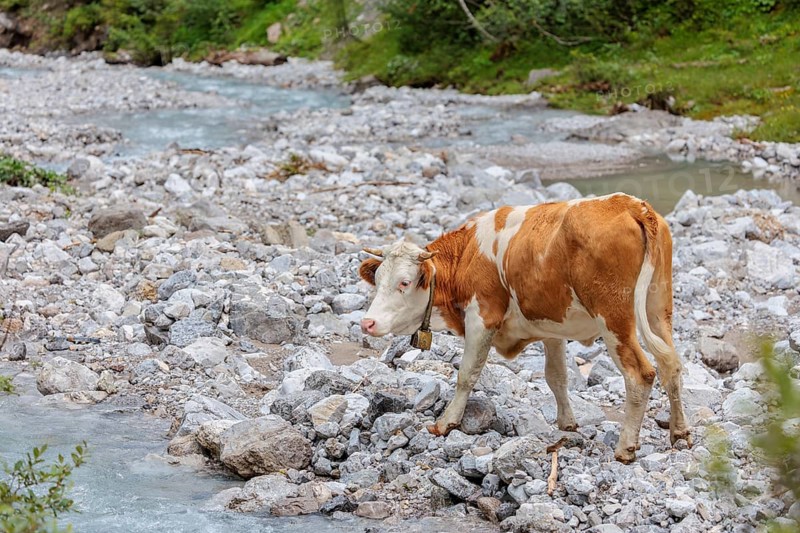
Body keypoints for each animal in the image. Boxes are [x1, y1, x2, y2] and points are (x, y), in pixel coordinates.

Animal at [358, 193, 691, 463]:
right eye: (377, 279)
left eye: (404, 282)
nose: (367, 322)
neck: (468, 255)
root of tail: (631, 204)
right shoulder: (553, 328)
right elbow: (557, 378)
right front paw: (567, 423)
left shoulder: (482, 317)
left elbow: (467, 374)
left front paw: (446, 422)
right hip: (658, 310)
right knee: (671, 366)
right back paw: (680, 433)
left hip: (614, 319)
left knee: (641, 374)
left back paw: (625, 447)